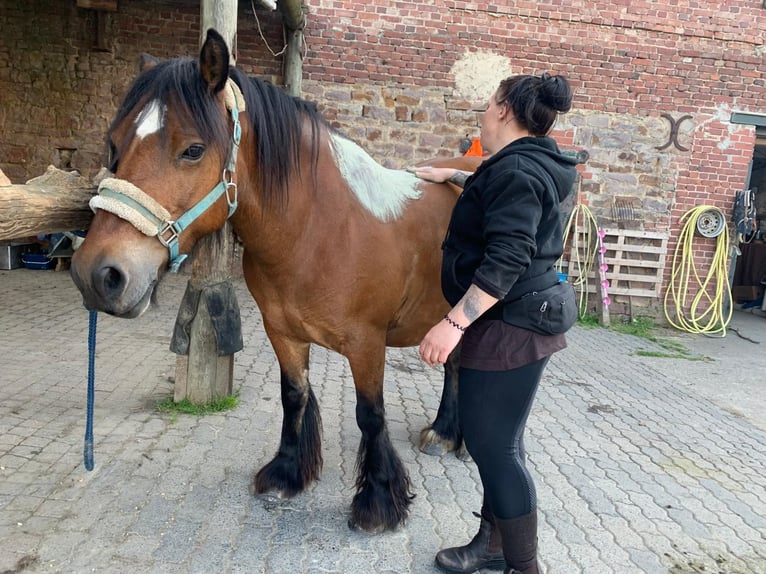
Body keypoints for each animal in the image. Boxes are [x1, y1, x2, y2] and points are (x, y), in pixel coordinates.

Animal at [69, 25, 484, 532]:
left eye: (193, 149)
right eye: (114, 144)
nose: (98, 274)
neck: (317, 228)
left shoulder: (367, 343)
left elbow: (371, 415)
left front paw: (377, 502)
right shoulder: (282, 332)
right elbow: (294, 397)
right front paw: (287, 472)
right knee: (456, 364)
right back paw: (445, 432)